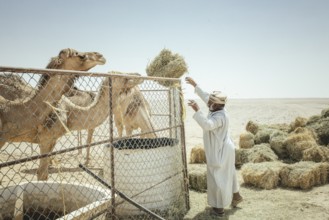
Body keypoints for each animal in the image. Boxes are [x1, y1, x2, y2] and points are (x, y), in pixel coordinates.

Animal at [0, 47, 105, 180]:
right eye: (79, 55)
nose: (100, 55)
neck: (10, 111)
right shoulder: (46, 137)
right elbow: (42, 174)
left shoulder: (51, 138)